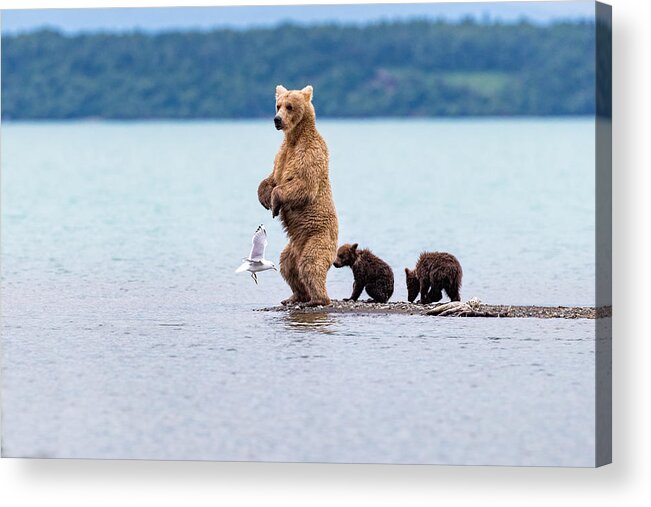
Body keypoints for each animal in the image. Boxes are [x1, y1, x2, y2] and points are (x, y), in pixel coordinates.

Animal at [258, 85, 338, 308]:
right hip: (292, 248)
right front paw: (264, 198)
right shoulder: (282, 154)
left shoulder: (309, 153)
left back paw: (317, 299)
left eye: (289, 106)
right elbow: (271, 178)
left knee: (311, 264)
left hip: (318, 237)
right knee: (288, 266)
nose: (277, 119)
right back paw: (294, 296)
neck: (295, 138)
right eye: (278, 105)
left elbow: (302, 185)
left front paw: (274, 203)